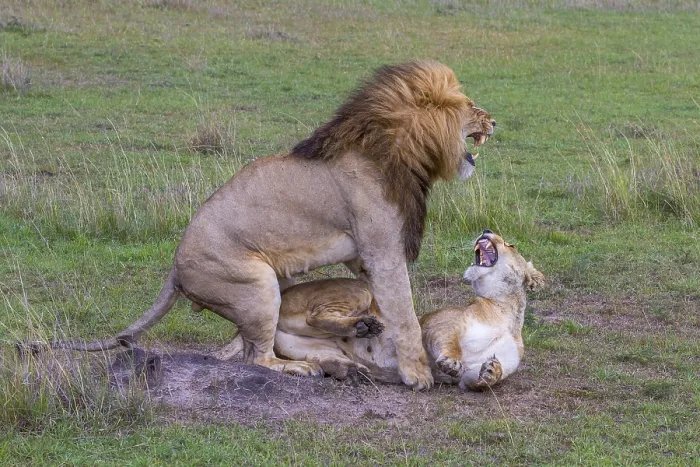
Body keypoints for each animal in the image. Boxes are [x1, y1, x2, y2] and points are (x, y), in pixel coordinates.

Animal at [30, 61, 495, 391]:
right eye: (470, 106)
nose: (495, 121)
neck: (399, 149)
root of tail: (175, 270)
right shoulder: (382, 251)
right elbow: (404, 314)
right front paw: (418, 373)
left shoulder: (364, 259)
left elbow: (388, 306)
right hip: (256, 286)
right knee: (257, 356)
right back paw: (307, 368)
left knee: (248, 344)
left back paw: (340, 352)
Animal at [221, 230, 544, 390]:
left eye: (510, 243)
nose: (487, 229)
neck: (505, 313)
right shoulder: (437, 324)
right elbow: (447, 343)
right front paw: (450, 361)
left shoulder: (471, 377)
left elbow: (481, 382)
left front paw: (492, 371)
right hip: (360, 290)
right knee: (317, 316)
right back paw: (365, 327)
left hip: (305, 346)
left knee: (321, 359)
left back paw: (350, 370)